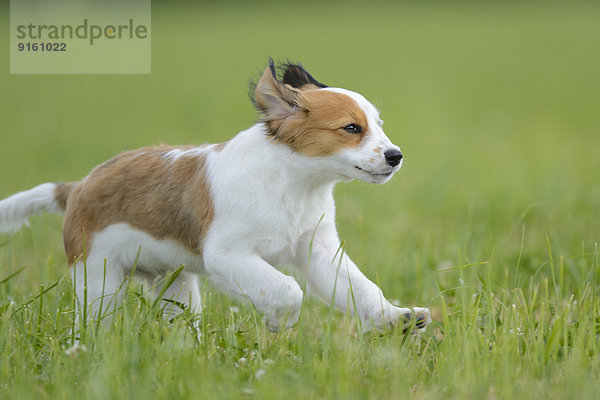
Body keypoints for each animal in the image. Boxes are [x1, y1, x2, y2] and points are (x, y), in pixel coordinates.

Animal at [0, 60, 432, 332]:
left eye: (377, 125)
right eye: (351, 128)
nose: (395, 156)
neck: (290, 185)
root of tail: (77, 187)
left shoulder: (318, 251)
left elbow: (362, 289)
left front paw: (395, 317)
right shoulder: (228, 256)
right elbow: (288, 291)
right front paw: (279, 322)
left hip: (175, 287)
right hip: (99, 282)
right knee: (91, 330)